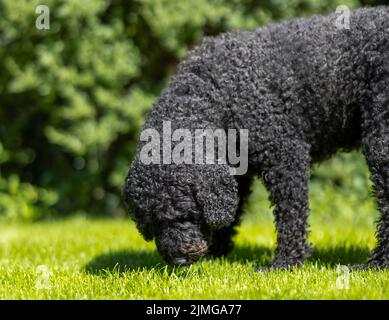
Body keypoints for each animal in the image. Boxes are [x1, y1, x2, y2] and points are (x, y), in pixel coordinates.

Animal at [123, 6, 388, 268]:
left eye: (187, 214)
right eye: (152, 224)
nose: (177, 260)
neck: (216, 93)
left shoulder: (285, 158)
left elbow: (290, 215)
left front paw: (285, 261)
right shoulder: (234, 172)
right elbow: (230, 214)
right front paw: (216, 253)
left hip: (379, 141)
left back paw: (377, 262)